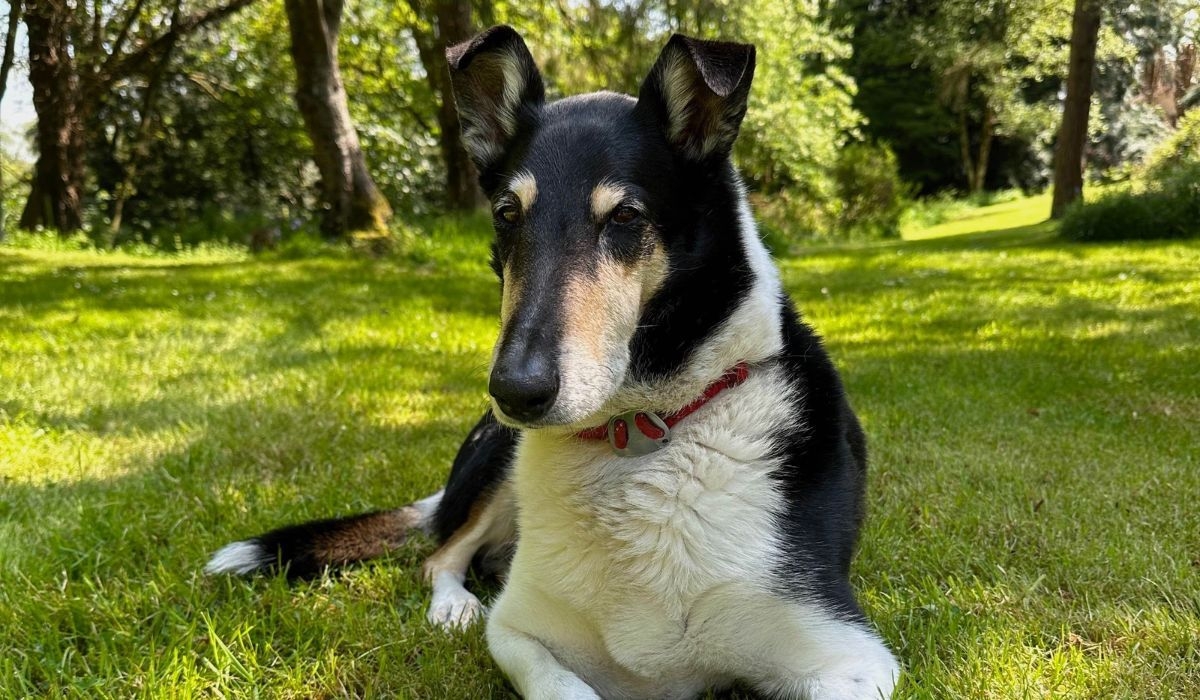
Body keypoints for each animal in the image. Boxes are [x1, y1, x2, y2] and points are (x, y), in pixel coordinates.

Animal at [206, 25, 902, 700]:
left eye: (626, 216)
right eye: (506, 214)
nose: (515, 391)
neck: (638, 436)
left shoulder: (847, 656)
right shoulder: (519, 633)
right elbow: (560, 684)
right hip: (496, 463)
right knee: (440, 556)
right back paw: (454, 605)